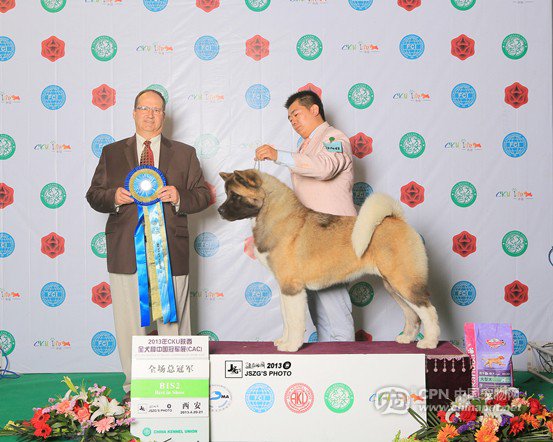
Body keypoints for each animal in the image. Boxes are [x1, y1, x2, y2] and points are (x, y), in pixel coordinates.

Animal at [218, 169, 440, 352]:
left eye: (235, 196)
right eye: (227, 194)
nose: (219, 211)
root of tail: (396, 218)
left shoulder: (292, 288)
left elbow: (294, 321)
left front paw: (291, 346)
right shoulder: (284, 289)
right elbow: (286, 319)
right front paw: (284, 341)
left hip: (404, 281)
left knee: (428, 311)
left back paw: (429, 342)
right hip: (393, 285)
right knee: (412, 314)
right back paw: (407, 338)